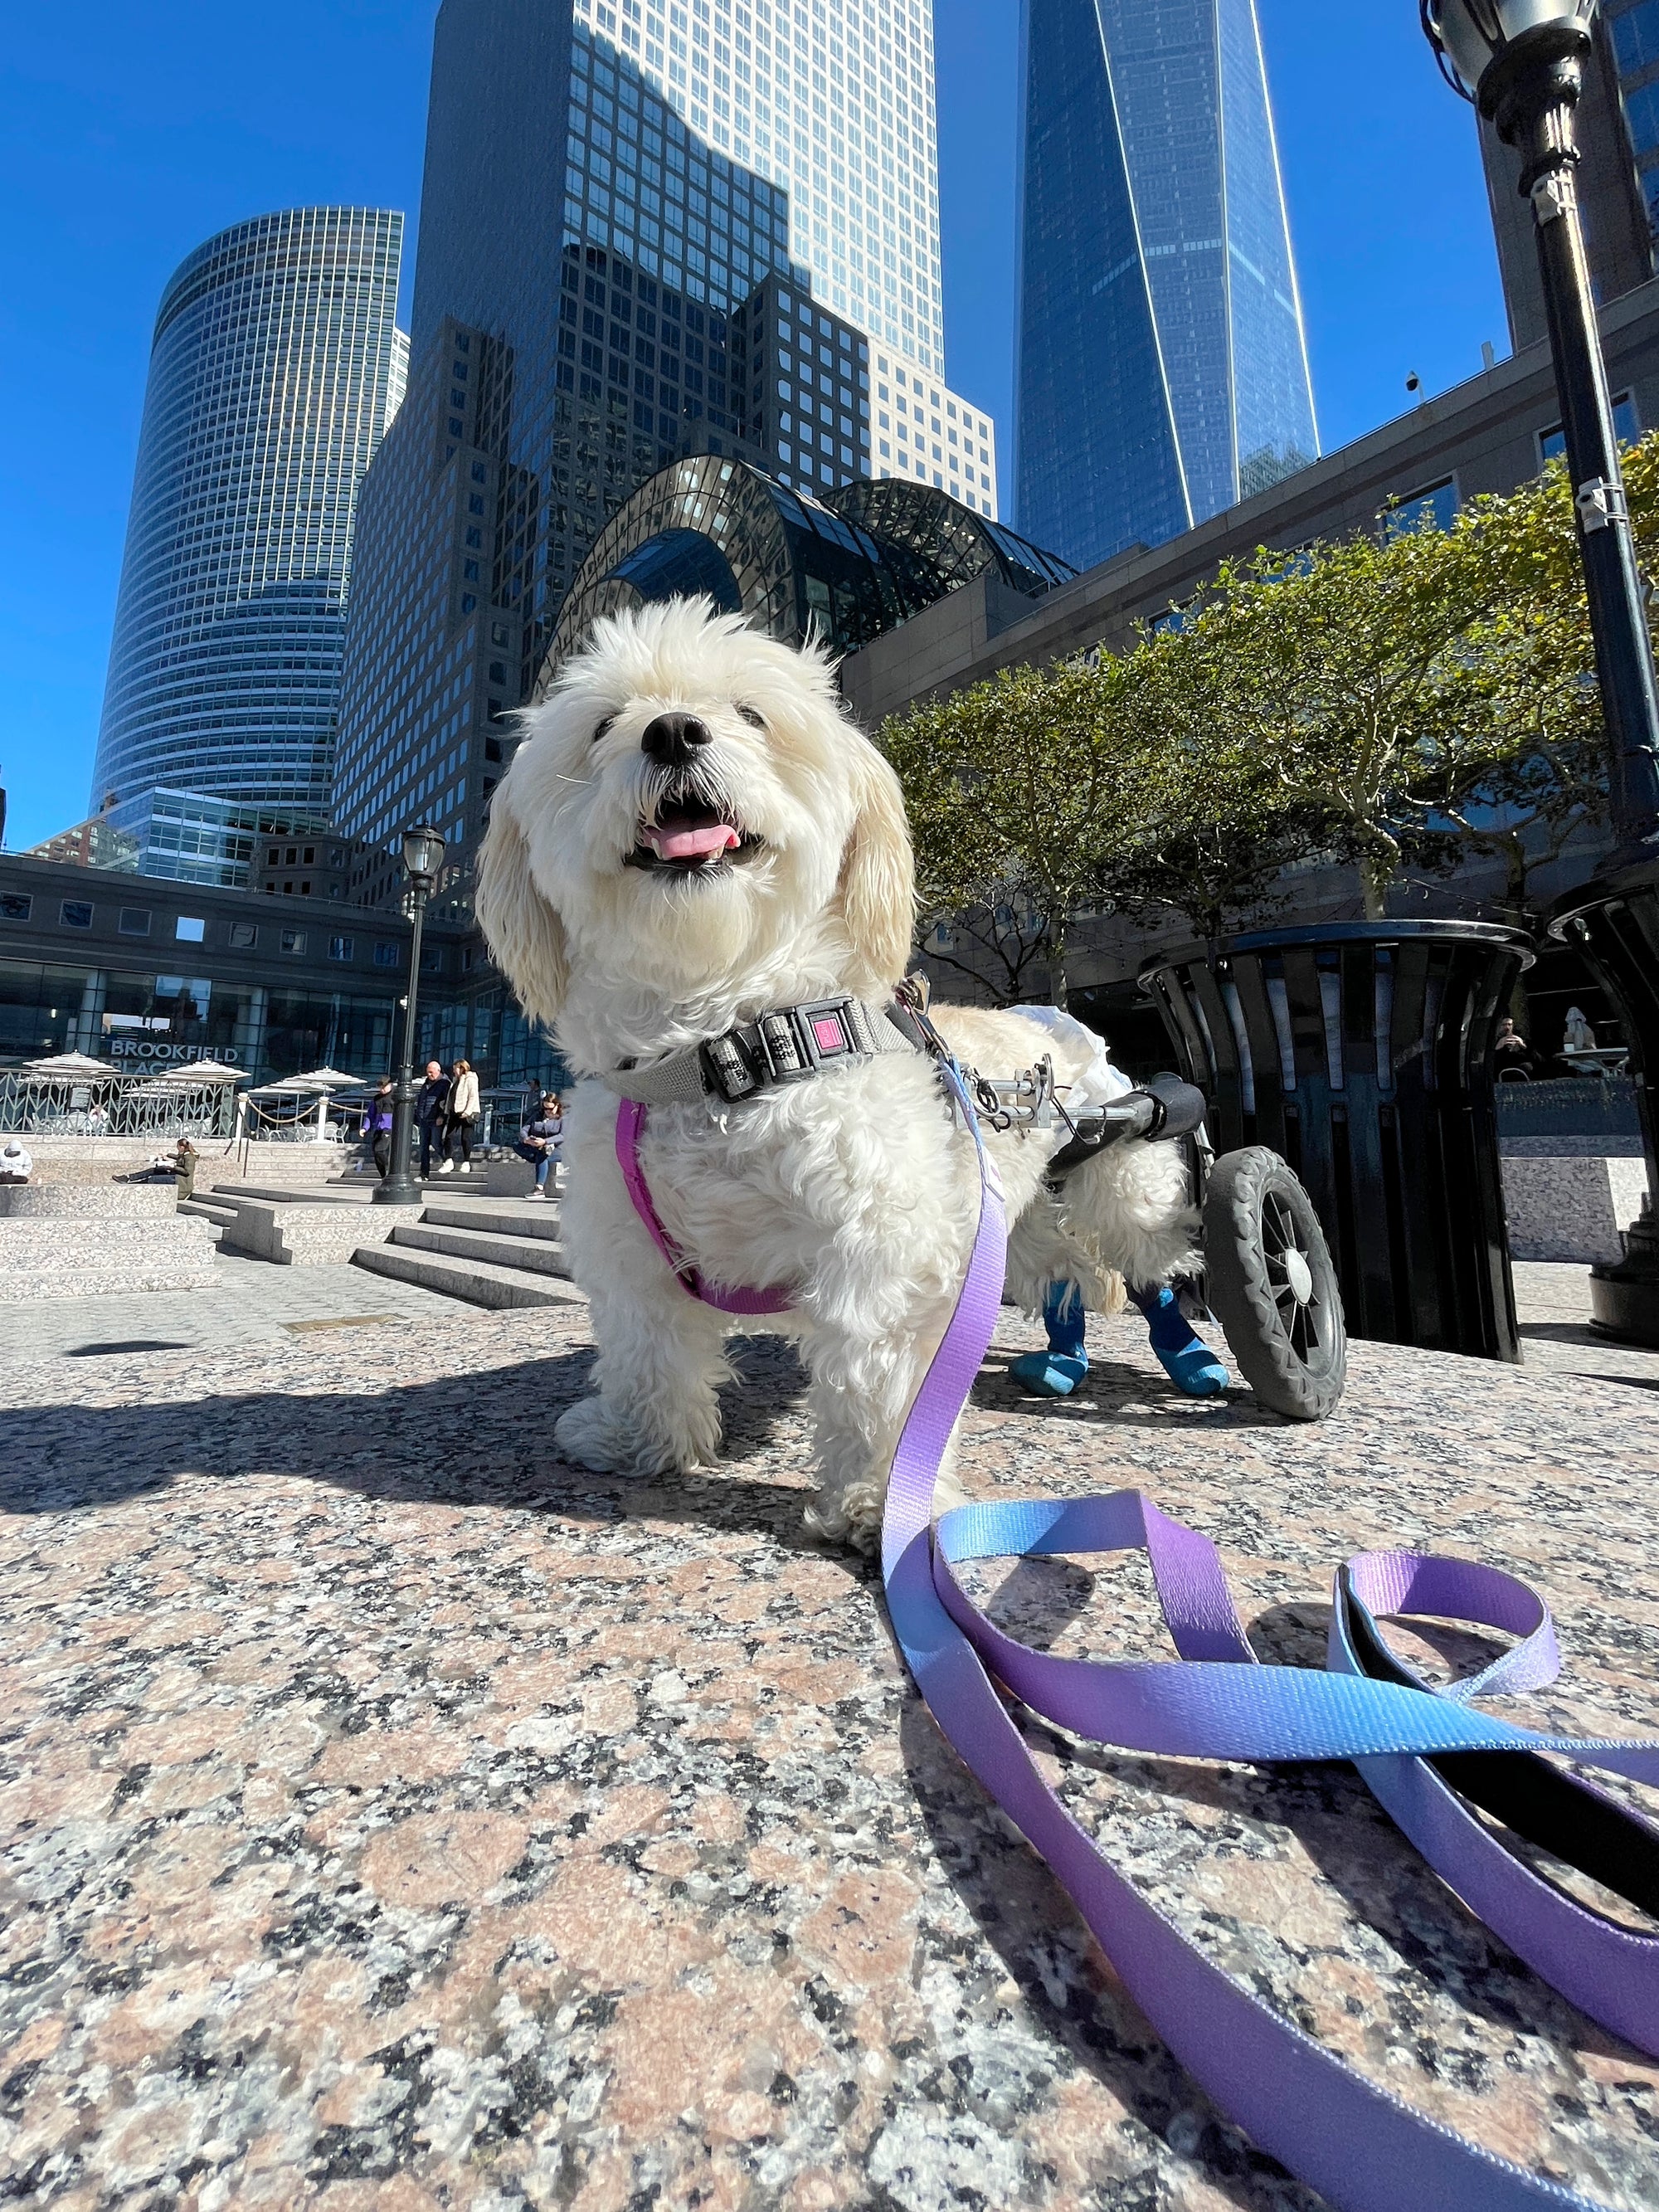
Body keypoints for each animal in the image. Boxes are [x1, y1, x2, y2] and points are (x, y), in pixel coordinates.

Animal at [473, 597, 1203, 1548]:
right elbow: (646, 1345)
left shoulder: (879, 1247)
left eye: (750, 714)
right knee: (1059, 1263)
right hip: (1006, 1211)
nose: (672, 730)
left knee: (1150, 1255)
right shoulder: (624, 1240)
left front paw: (882, 1503)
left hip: (1123, 1163)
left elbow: (882, 1378)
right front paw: (638, 1439)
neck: (723, 1046)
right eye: (603, 724)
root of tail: (1054, 1022)